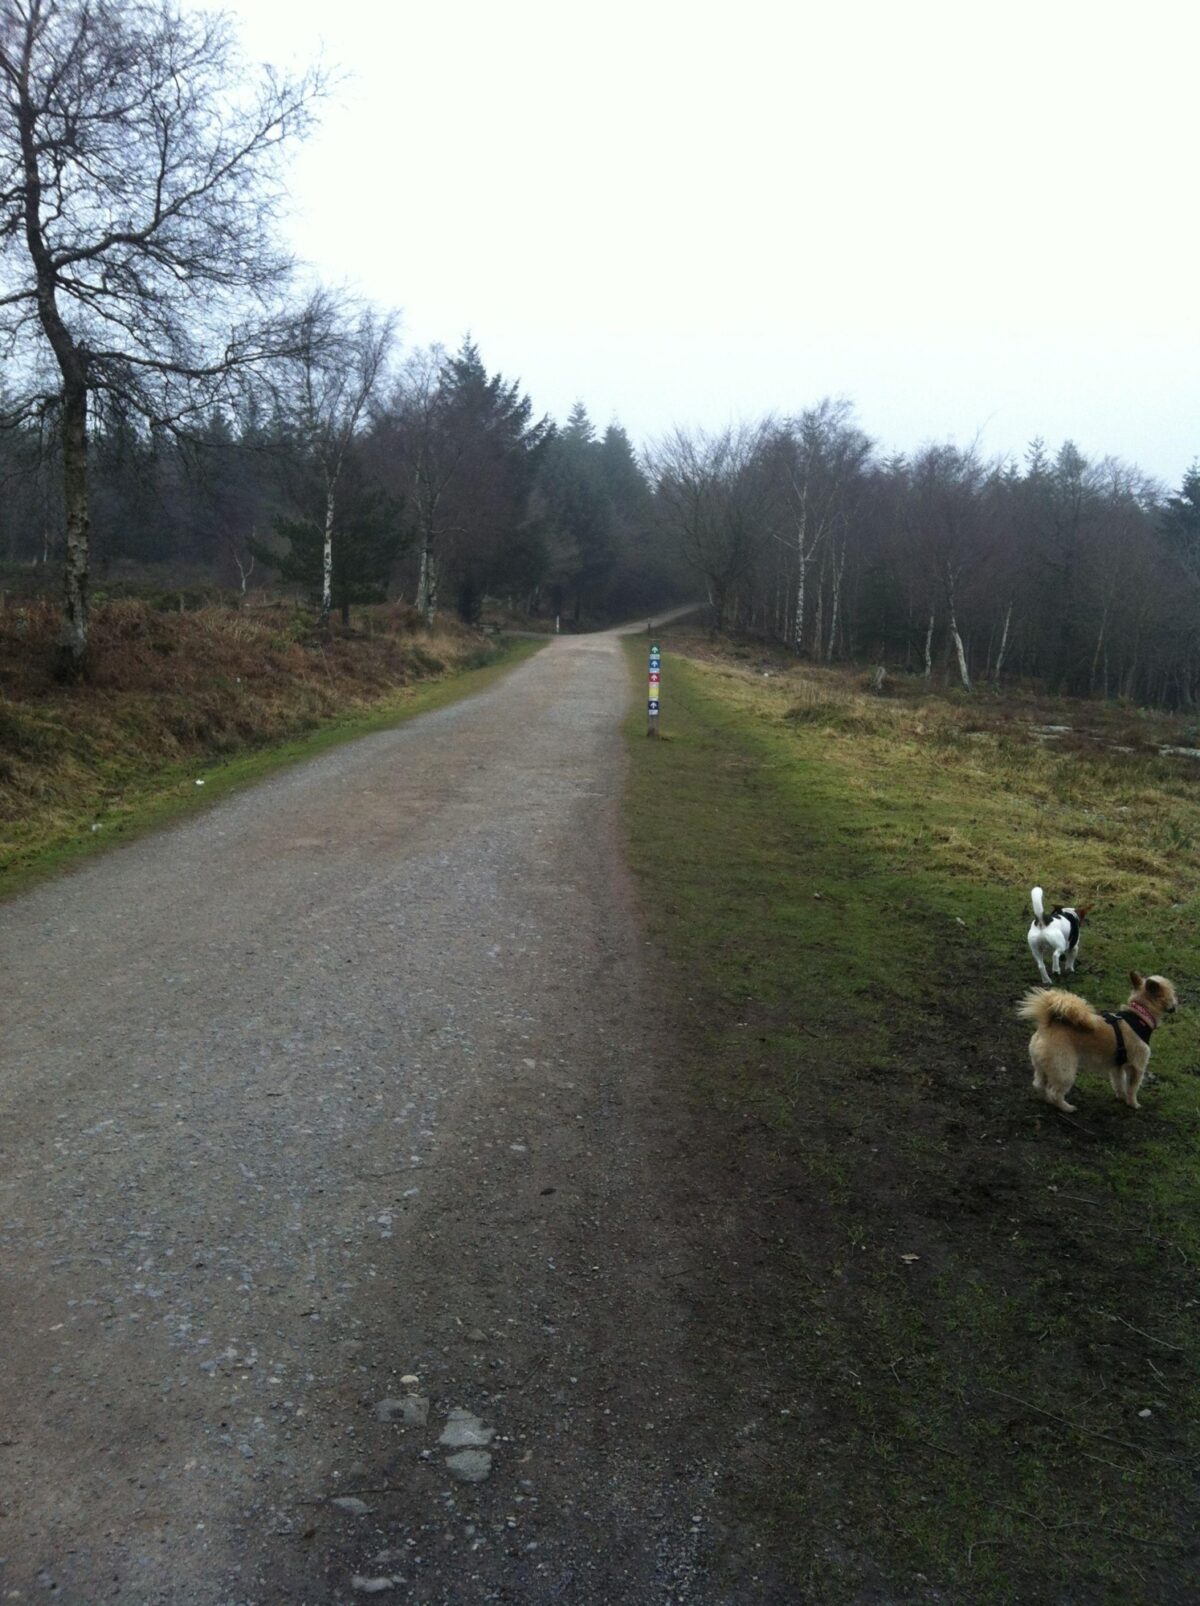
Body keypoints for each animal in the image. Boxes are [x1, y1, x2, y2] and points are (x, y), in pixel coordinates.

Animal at [1021, 970, 1175, 1111]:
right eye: (1173, 994)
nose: (1175, 1004)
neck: (1140, 1015)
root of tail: (1047, 1025)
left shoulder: (1117, 1067)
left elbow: (1119, 1083)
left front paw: (1121, 1097)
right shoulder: (1137, 1067)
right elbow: (1132, 1088)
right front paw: (1133, 1104)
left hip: (1043, 1066)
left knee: (1039, 1084)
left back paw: (1046, 1099)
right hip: (1063, 1070)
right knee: (1055, 1092)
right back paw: (1066, 1107)